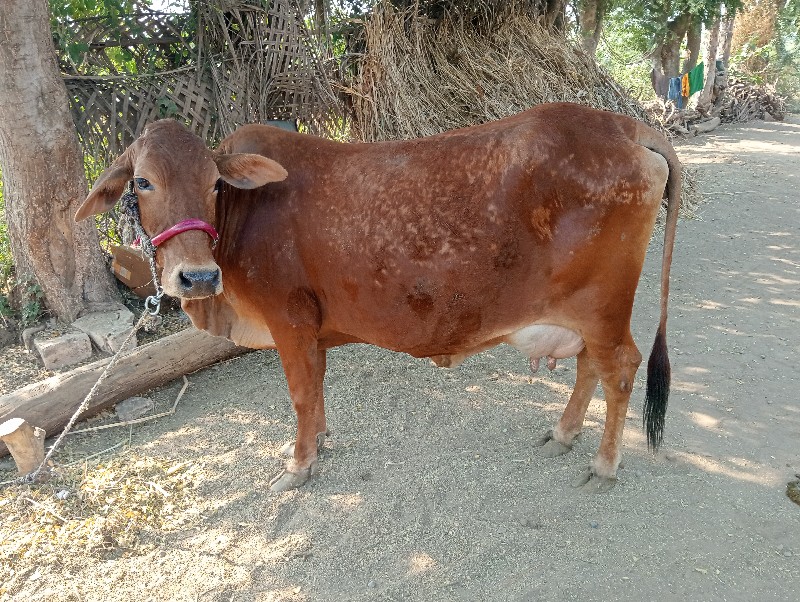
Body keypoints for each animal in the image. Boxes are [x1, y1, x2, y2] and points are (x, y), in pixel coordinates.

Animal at [78, 101, 680, 490]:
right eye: (143, 182)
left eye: (214, 183)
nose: (197, 278)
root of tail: (627, 126)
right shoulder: (310, 329)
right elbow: (316, 389)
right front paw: (319, 443)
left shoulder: (288, 319)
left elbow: (300, 394)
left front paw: (298, 465)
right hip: (585, 314)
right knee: (589, 366)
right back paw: (562, 433)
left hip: (603, 308)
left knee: (621, 367)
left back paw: (604, 464)